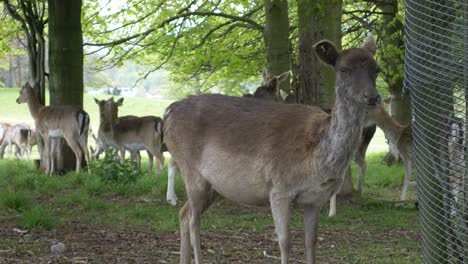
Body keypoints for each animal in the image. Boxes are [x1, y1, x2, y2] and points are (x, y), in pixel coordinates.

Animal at [164, 36, 380, 264]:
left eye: (377, 69)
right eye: (343, 69)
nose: (373, 97)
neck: (317, 159)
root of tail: (168, 113)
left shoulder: (315, 199)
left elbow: (311, 242)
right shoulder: (278, 188)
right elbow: (284, 242)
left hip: (214, 186)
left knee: (183, 213)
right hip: (191, 171)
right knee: (193, 219)